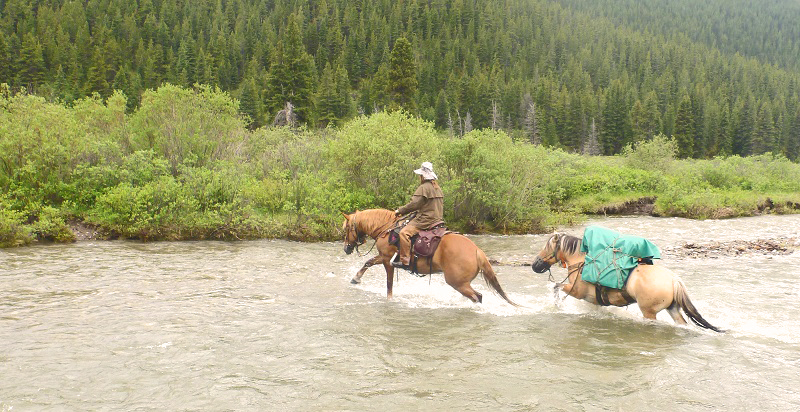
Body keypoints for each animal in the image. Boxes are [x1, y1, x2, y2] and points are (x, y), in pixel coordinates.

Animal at [341, 209, 517, 306]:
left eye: (346, 229)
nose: (346, 248)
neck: (387, 229)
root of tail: (477, 251)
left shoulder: (387, 260)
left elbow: (389, 284)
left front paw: (389, 300)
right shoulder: (384, 257)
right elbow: (368, 262)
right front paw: (356, 278)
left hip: (457, 282)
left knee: (477, 296)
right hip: (461, 283)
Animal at [531, 232, 723, 332]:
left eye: (547, 247)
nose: (535, 265)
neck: (581, 262)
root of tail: (674, 280)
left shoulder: (576, 292)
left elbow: (556, 287)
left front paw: (557, 305)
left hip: (649, 312)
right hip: (672, 308)